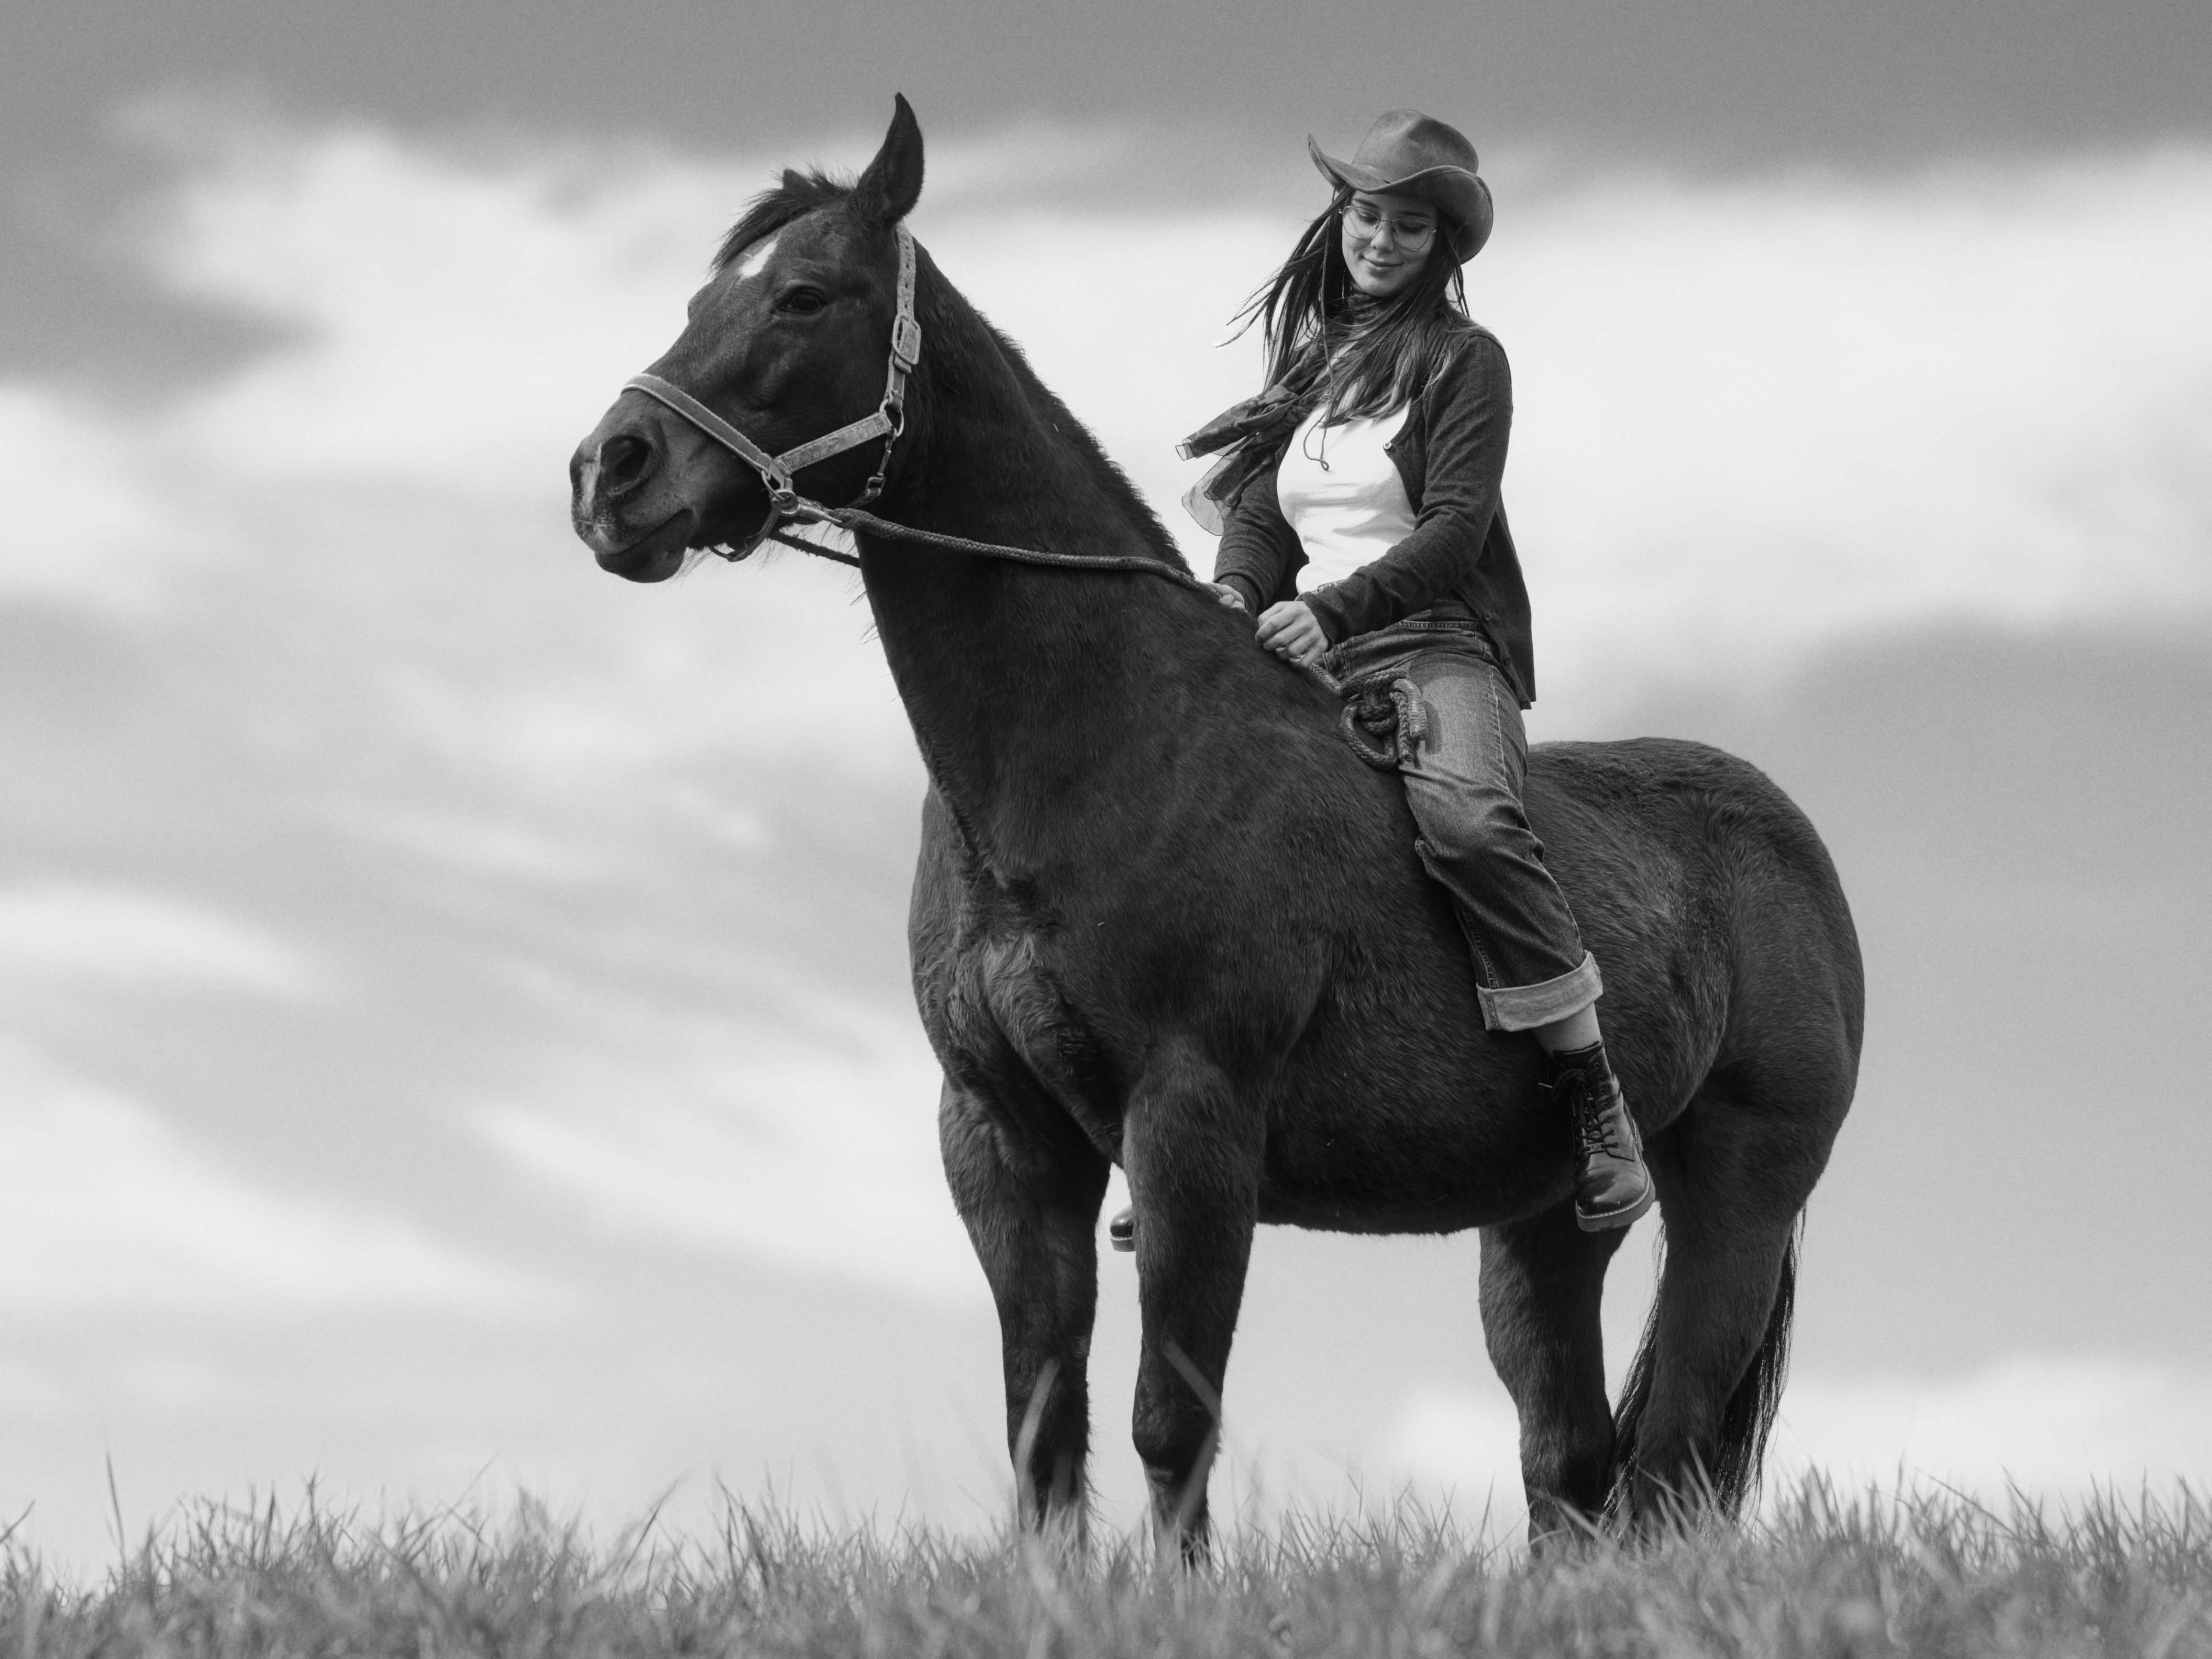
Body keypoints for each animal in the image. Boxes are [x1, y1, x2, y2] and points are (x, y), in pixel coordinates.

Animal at [568, 96, 1863, 1557]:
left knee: (1669, 1450)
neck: (1092, 746)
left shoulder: (1193, 1129)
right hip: (1539, 1230)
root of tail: (1786, 841)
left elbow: (1166, 1423)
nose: (608, 472)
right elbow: (1043, 1421)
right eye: (701, 297)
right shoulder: (1003, 1140)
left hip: (1737, 1195)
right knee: (1567, 1458)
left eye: (804, 293)